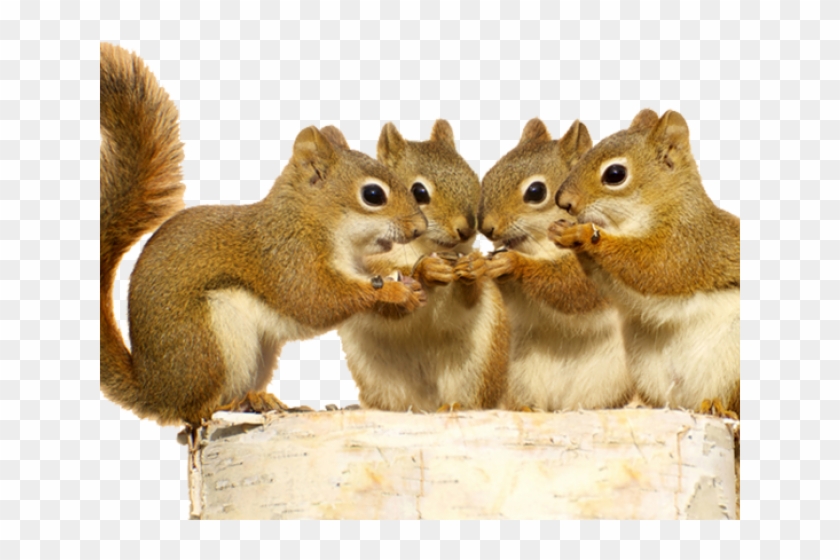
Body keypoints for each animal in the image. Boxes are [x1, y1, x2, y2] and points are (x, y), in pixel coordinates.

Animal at [100, 43, 428, 426]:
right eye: (373, 195)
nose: (420, 228)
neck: (312, 220)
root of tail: (155, 391)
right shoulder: (285, 256)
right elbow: (315, 300)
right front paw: (392, 291)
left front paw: (411, 283)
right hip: (210, 341)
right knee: (196, 411)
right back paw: (231, 405)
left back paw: (261, 400)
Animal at [337, 120, 509, 412]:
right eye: (418, 192)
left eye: (473, 179)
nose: (467, 229)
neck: (424, 247)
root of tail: (425, 405)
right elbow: (384, 302)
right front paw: (426, 271)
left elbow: (467, 300)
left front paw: (473, 268)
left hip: (479, 362)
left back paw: (455, 406)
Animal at [479, 118, 632, 411]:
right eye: (488, 176)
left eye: (536, 192)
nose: (486, 227)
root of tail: (559, 404)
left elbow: (572, 287)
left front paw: (514, 264)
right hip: (519, 375)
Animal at [550, 108, 740, 419]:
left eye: (615, 174)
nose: (563, 201)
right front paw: (561, 230)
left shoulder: (686, 246)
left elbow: (650, 268)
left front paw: (584, 235)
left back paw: (716, 406)